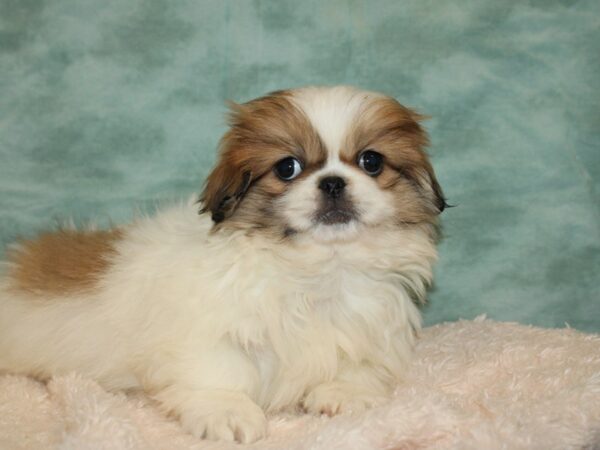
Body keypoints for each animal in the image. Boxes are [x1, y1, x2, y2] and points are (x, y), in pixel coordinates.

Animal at [0, 85, 446, 442]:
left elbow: (362, 363)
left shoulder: (371, 323)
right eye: (287, 167)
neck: (316, 270)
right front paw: (227, 409)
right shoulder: (204, 330)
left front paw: (345, 392)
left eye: (372, 162)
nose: (333, 182)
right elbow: (218, 370)